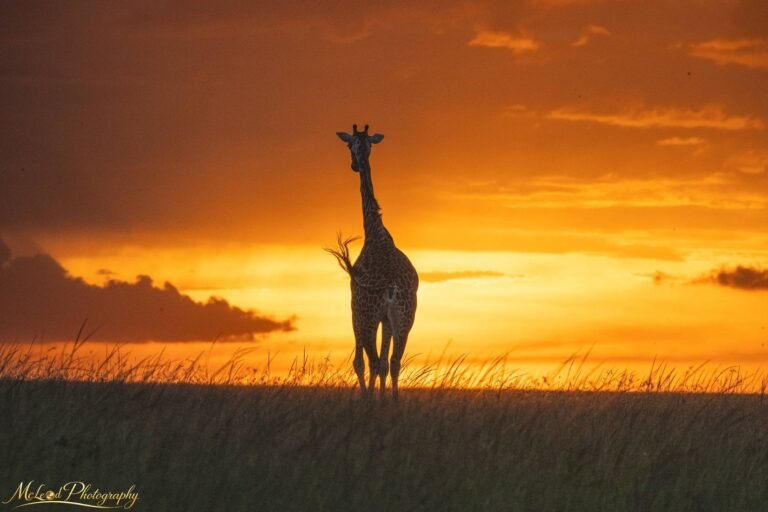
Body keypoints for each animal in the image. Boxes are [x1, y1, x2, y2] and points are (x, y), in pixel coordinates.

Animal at [326, 124, 418, 399]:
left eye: (350, 145)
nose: (355, 165)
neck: (375, 233)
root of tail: (390, 289)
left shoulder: (355, 307)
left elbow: (361, 361)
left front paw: (369, 397)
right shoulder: (387, 318)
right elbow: (387, 363)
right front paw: (382, 398)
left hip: (367, 316)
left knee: (373, 360)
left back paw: (370, 400)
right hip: (405, 318)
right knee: (395, 361)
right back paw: (395, 401)